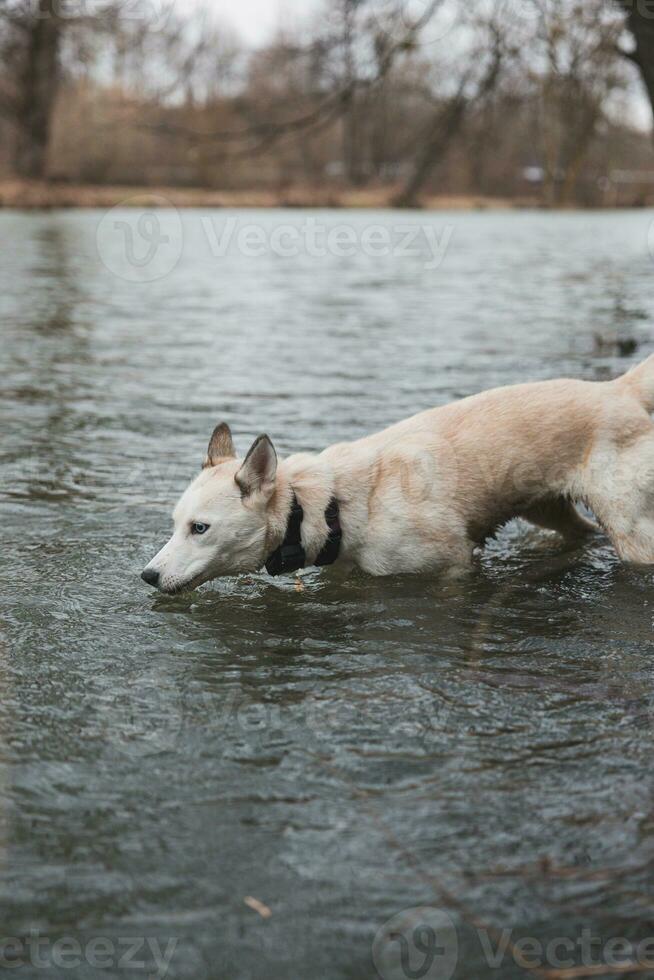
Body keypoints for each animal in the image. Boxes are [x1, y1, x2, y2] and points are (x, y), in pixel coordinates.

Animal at [144, 356, 654, 592]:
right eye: (175, 524)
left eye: (200, 528)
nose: (148, 576)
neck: (328, 506)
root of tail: (619, 389)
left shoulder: (453, 563)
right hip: (548, 509)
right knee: (580, 533)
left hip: (629, 527)